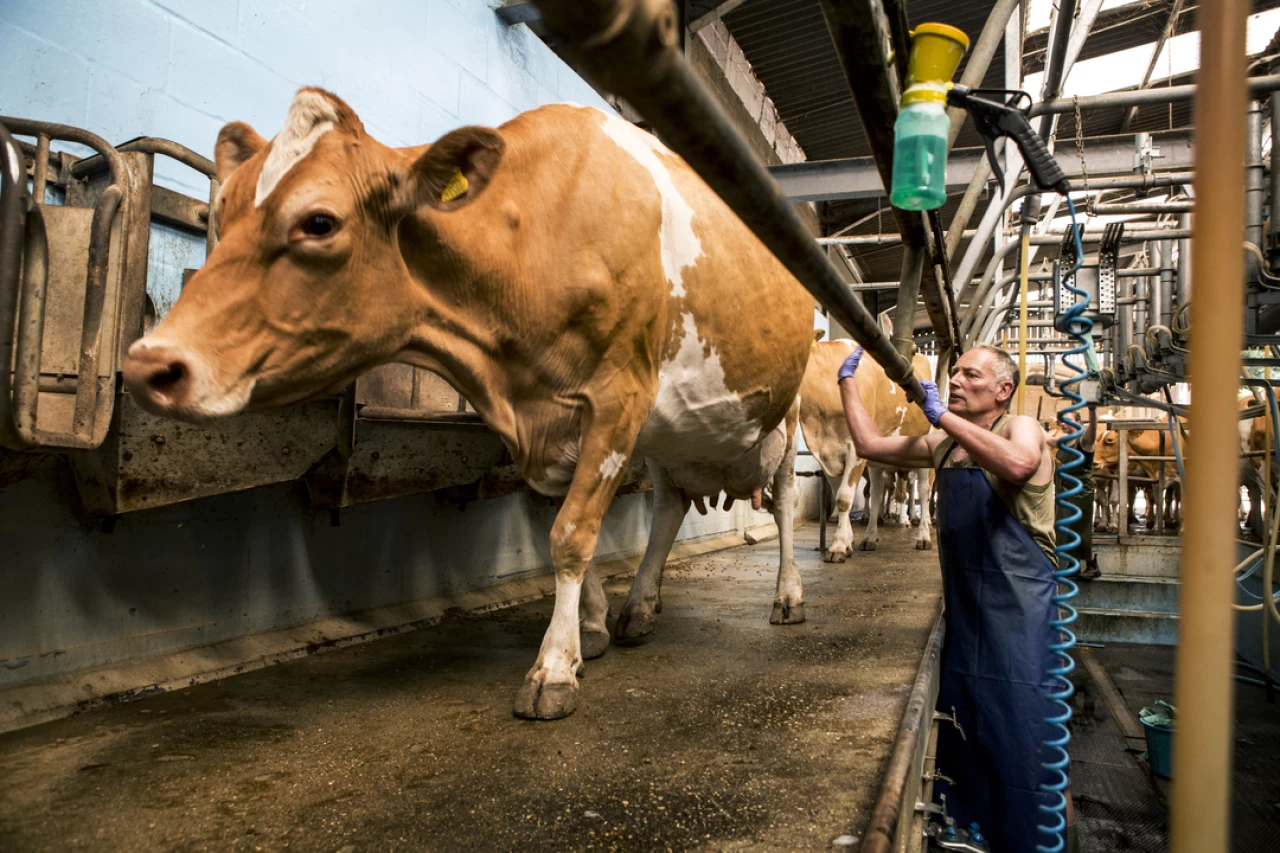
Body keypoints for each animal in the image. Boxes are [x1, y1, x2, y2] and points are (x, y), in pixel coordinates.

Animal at [117, 89, 808, 717]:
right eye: (221, 210)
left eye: (319, 222)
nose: (150, 364)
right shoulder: (551, 428)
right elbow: (559, 522)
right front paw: (591, 629)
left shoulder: (619, 395)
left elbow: (573, 534)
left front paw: (553, 668)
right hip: (671, 436)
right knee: (668, 507)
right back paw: (641, 607)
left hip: (787, 411)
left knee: (784, 506)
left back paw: (788, 597)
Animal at [798, 335, 931, 560]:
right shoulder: (825, 453)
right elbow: (840, 493)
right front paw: (848, 541)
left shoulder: (854, 450)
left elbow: (844, 497)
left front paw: (838, 546)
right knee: (876, 493)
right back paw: (870, 537)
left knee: (922, 491)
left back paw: (923, 536)